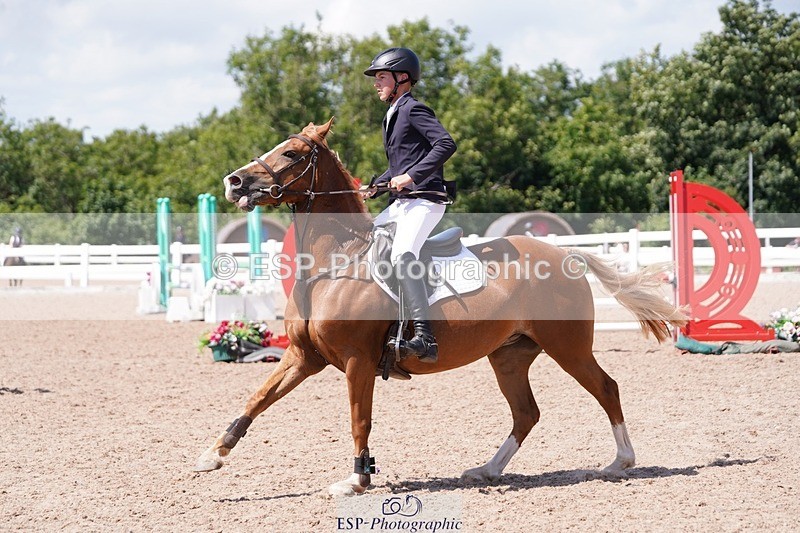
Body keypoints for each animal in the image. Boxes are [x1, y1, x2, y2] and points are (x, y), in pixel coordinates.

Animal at [195, 118, 688, 496]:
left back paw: (620, 462)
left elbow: (359, 420)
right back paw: (486, 470)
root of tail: (566, 255)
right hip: (509, 355)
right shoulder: (303, 357)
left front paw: (356, 481)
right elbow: (257, 399)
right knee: (526, 413)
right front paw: (212, 456)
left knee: (606, 389)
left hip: (567, 347)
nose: (234, 182)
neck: (335, 264)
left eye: (293, 154)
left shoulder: (356, 361)